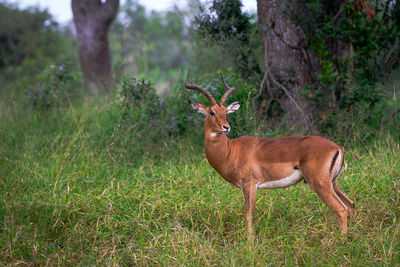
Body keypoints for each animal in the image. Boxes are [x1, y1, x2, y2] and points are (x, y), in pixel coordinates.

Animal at [184, 72, 354, 240]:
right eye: (212, 112)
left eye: (225, 111)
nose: (226, 127)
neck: (230, 151)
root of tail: (337, 148)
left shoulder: (250, 185)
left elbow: (248, 214)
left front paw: (250, 242)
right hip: (332, 183)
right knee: (350, 204)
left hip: (320, 184)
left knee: (341, 209)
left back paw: (341, 241)